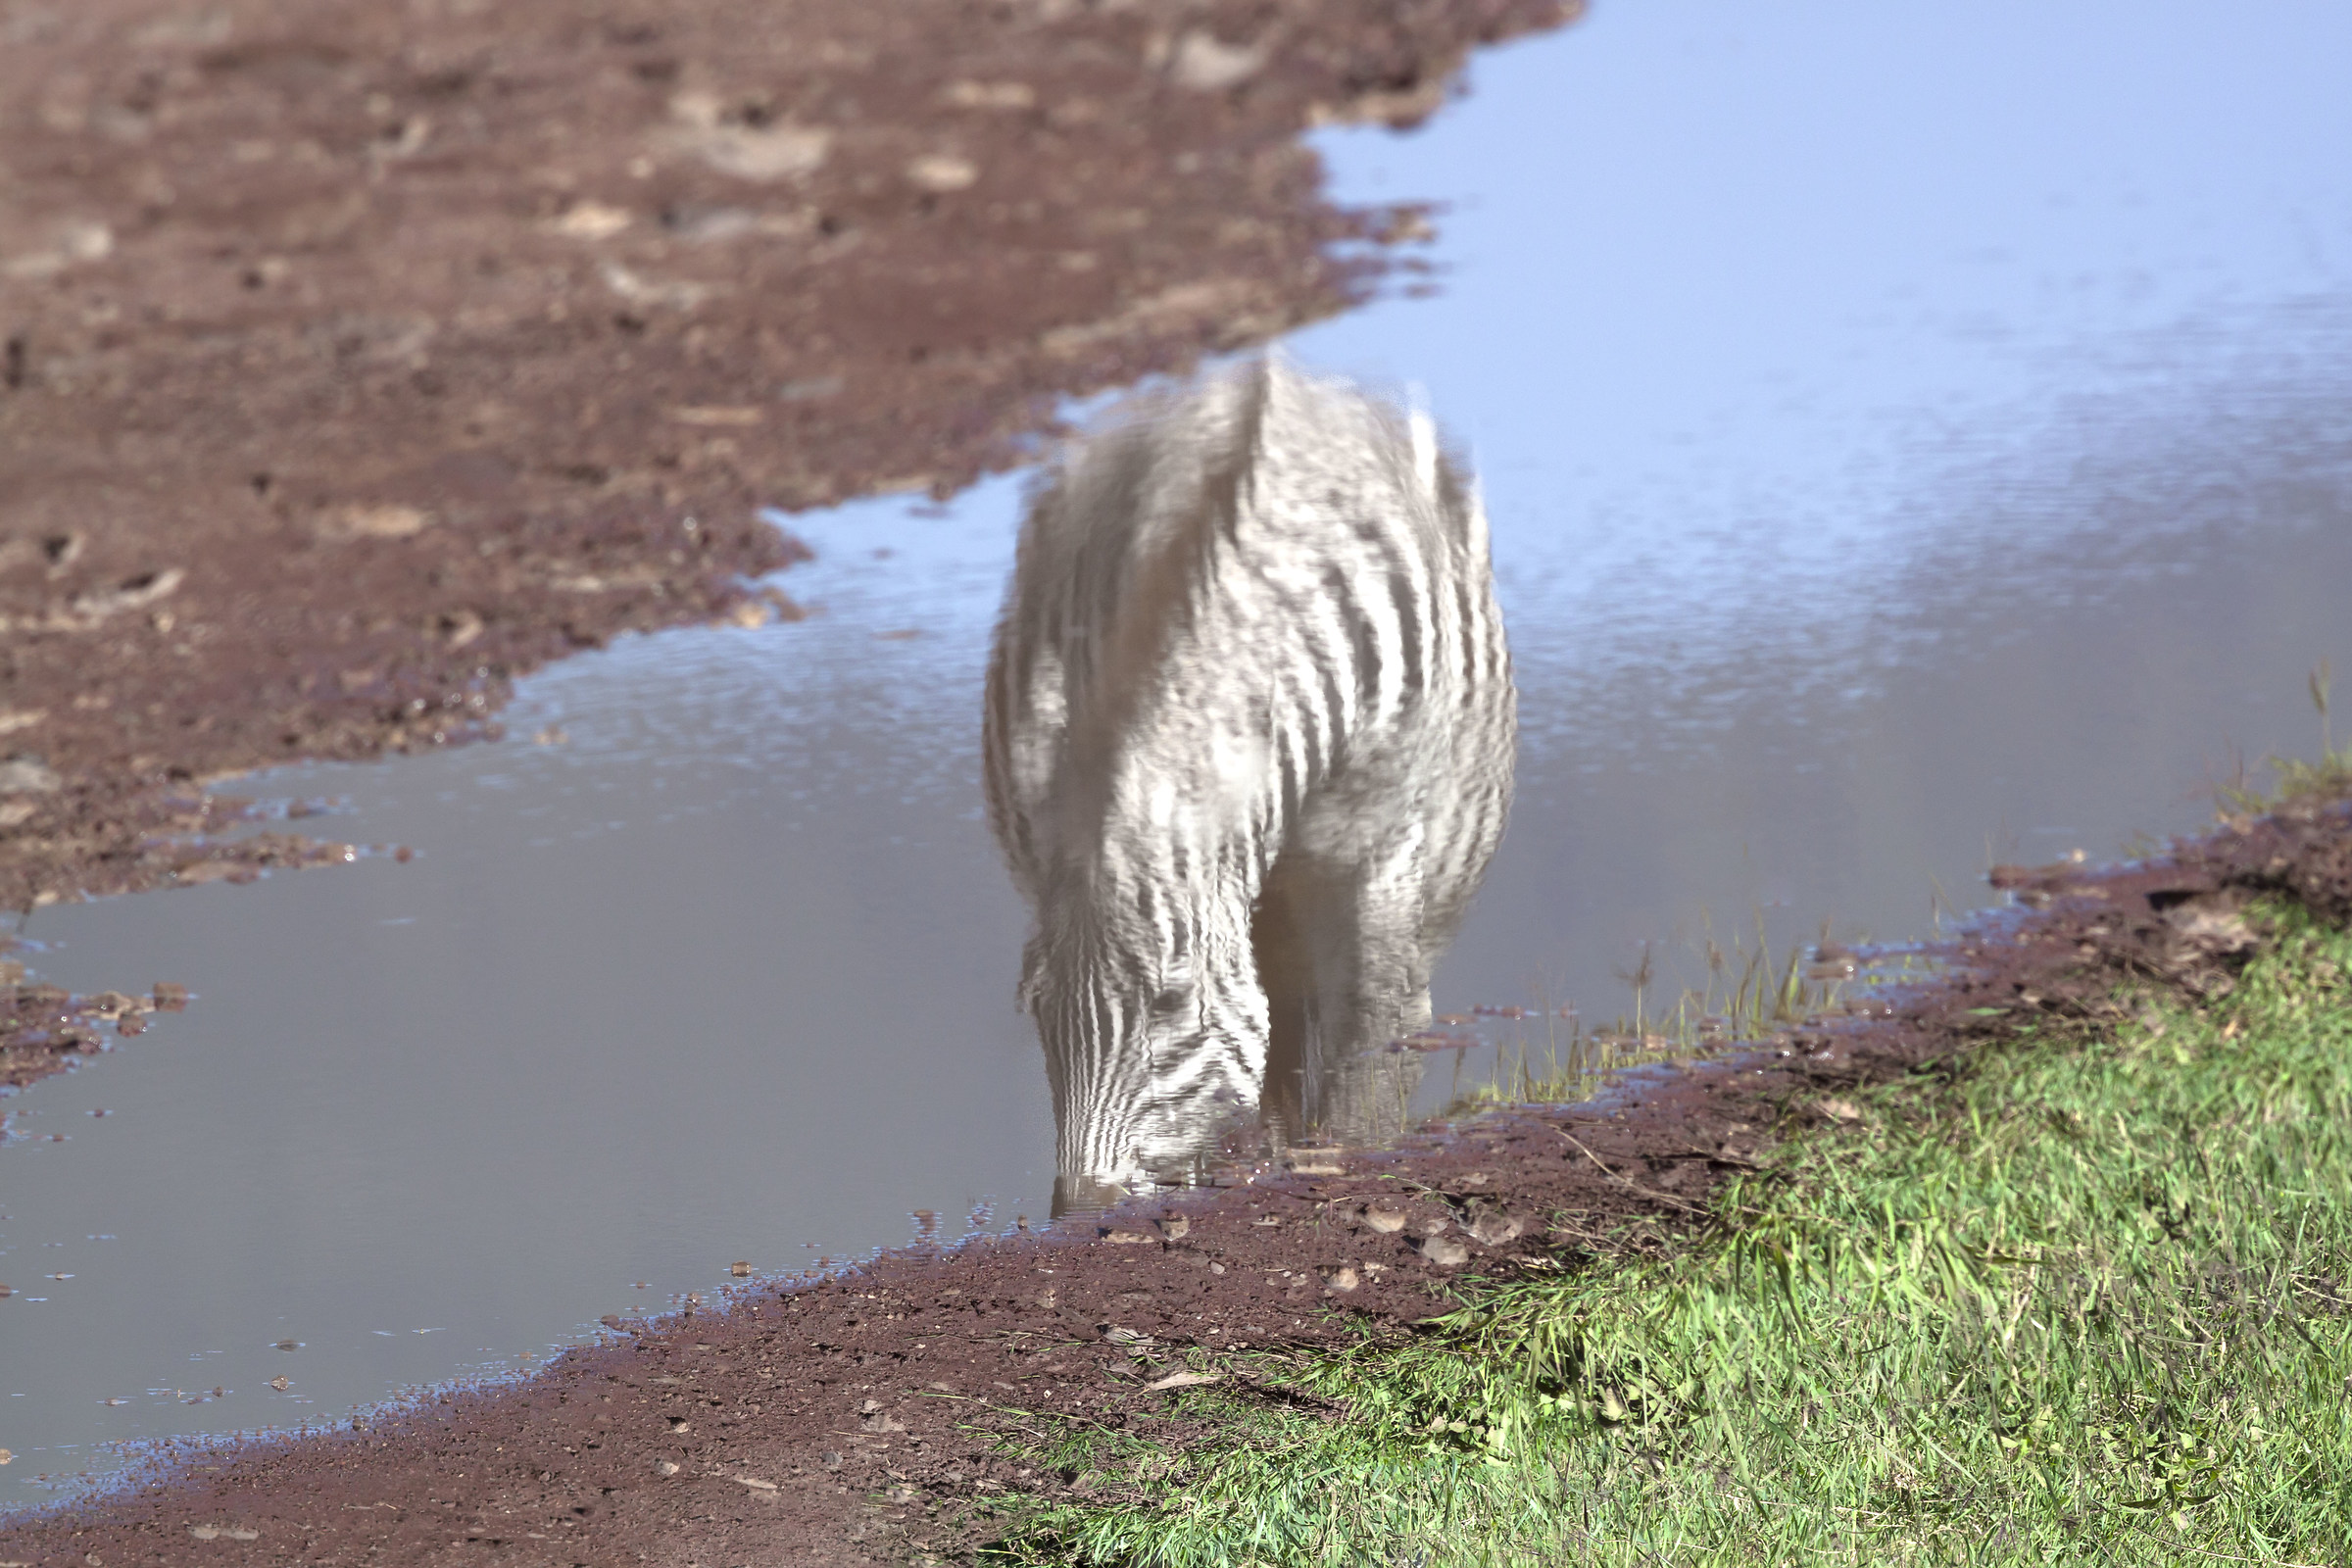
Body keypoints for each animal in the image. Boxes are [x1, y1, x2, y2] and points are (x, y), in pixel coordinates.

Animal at [982, 357, 1516, 1213]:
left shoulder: (1384, 856)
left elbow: (1376, 1034)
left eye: (1170, 1001)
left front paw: (1349, 1169)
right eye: (1034, 1009)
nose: (1080, 1216)